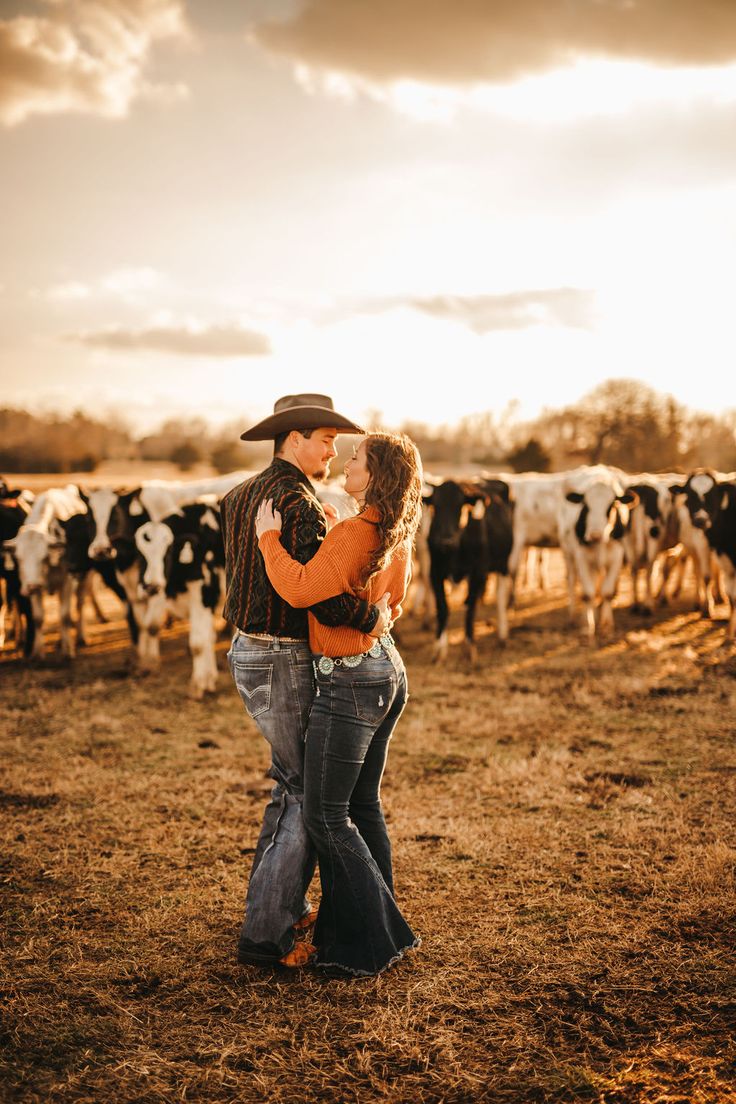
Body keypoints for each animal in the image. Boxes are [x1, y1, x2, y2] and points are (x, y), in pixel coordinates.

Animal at [558, 472, 640, 644]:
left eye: (611, 505)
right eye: (586, 505)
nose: (595, 534)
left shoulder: (617, 556)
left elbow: (607, 592)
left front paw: (607, 626)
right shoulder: (582, 557)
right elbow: (588, 593)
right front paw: (587, 628)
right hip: (569, 555)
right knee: (573, 582)